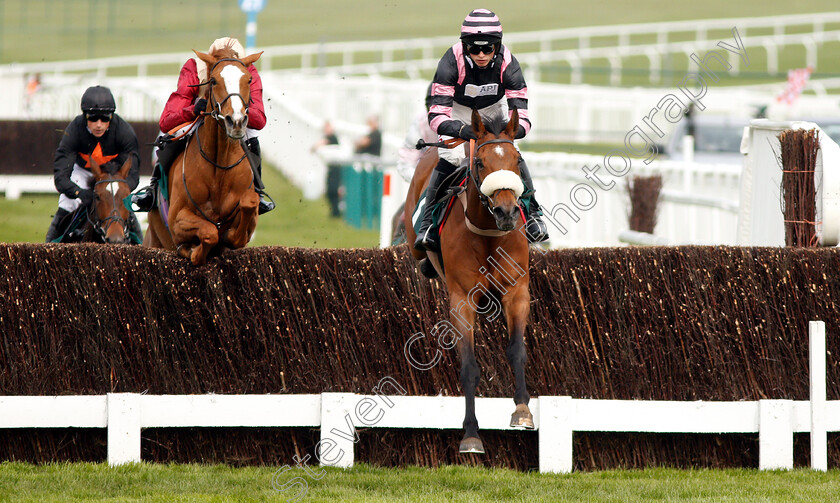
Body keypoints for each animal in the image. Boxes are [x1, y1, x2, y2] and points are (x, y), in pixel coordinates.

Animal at [144, 46, 262, 266]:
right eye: (213, 80)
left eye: (249, 79)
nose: (236, 121)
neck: (219, 166)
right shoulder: (177, 218)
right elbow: (209, 232)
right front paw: (191, 250)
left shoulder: (247, 223)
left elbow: (248, 206)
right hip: (154, 239)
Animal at [406, 108, 536, 454]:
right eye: (480, 163)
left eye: (518, 161)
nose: (506, 211)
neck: (488, 233)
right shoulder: (461, 298)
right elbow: (468, 365)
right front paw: (471, 434)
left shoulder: (517, 291)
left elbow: (517, 349)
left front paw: (522, 411)